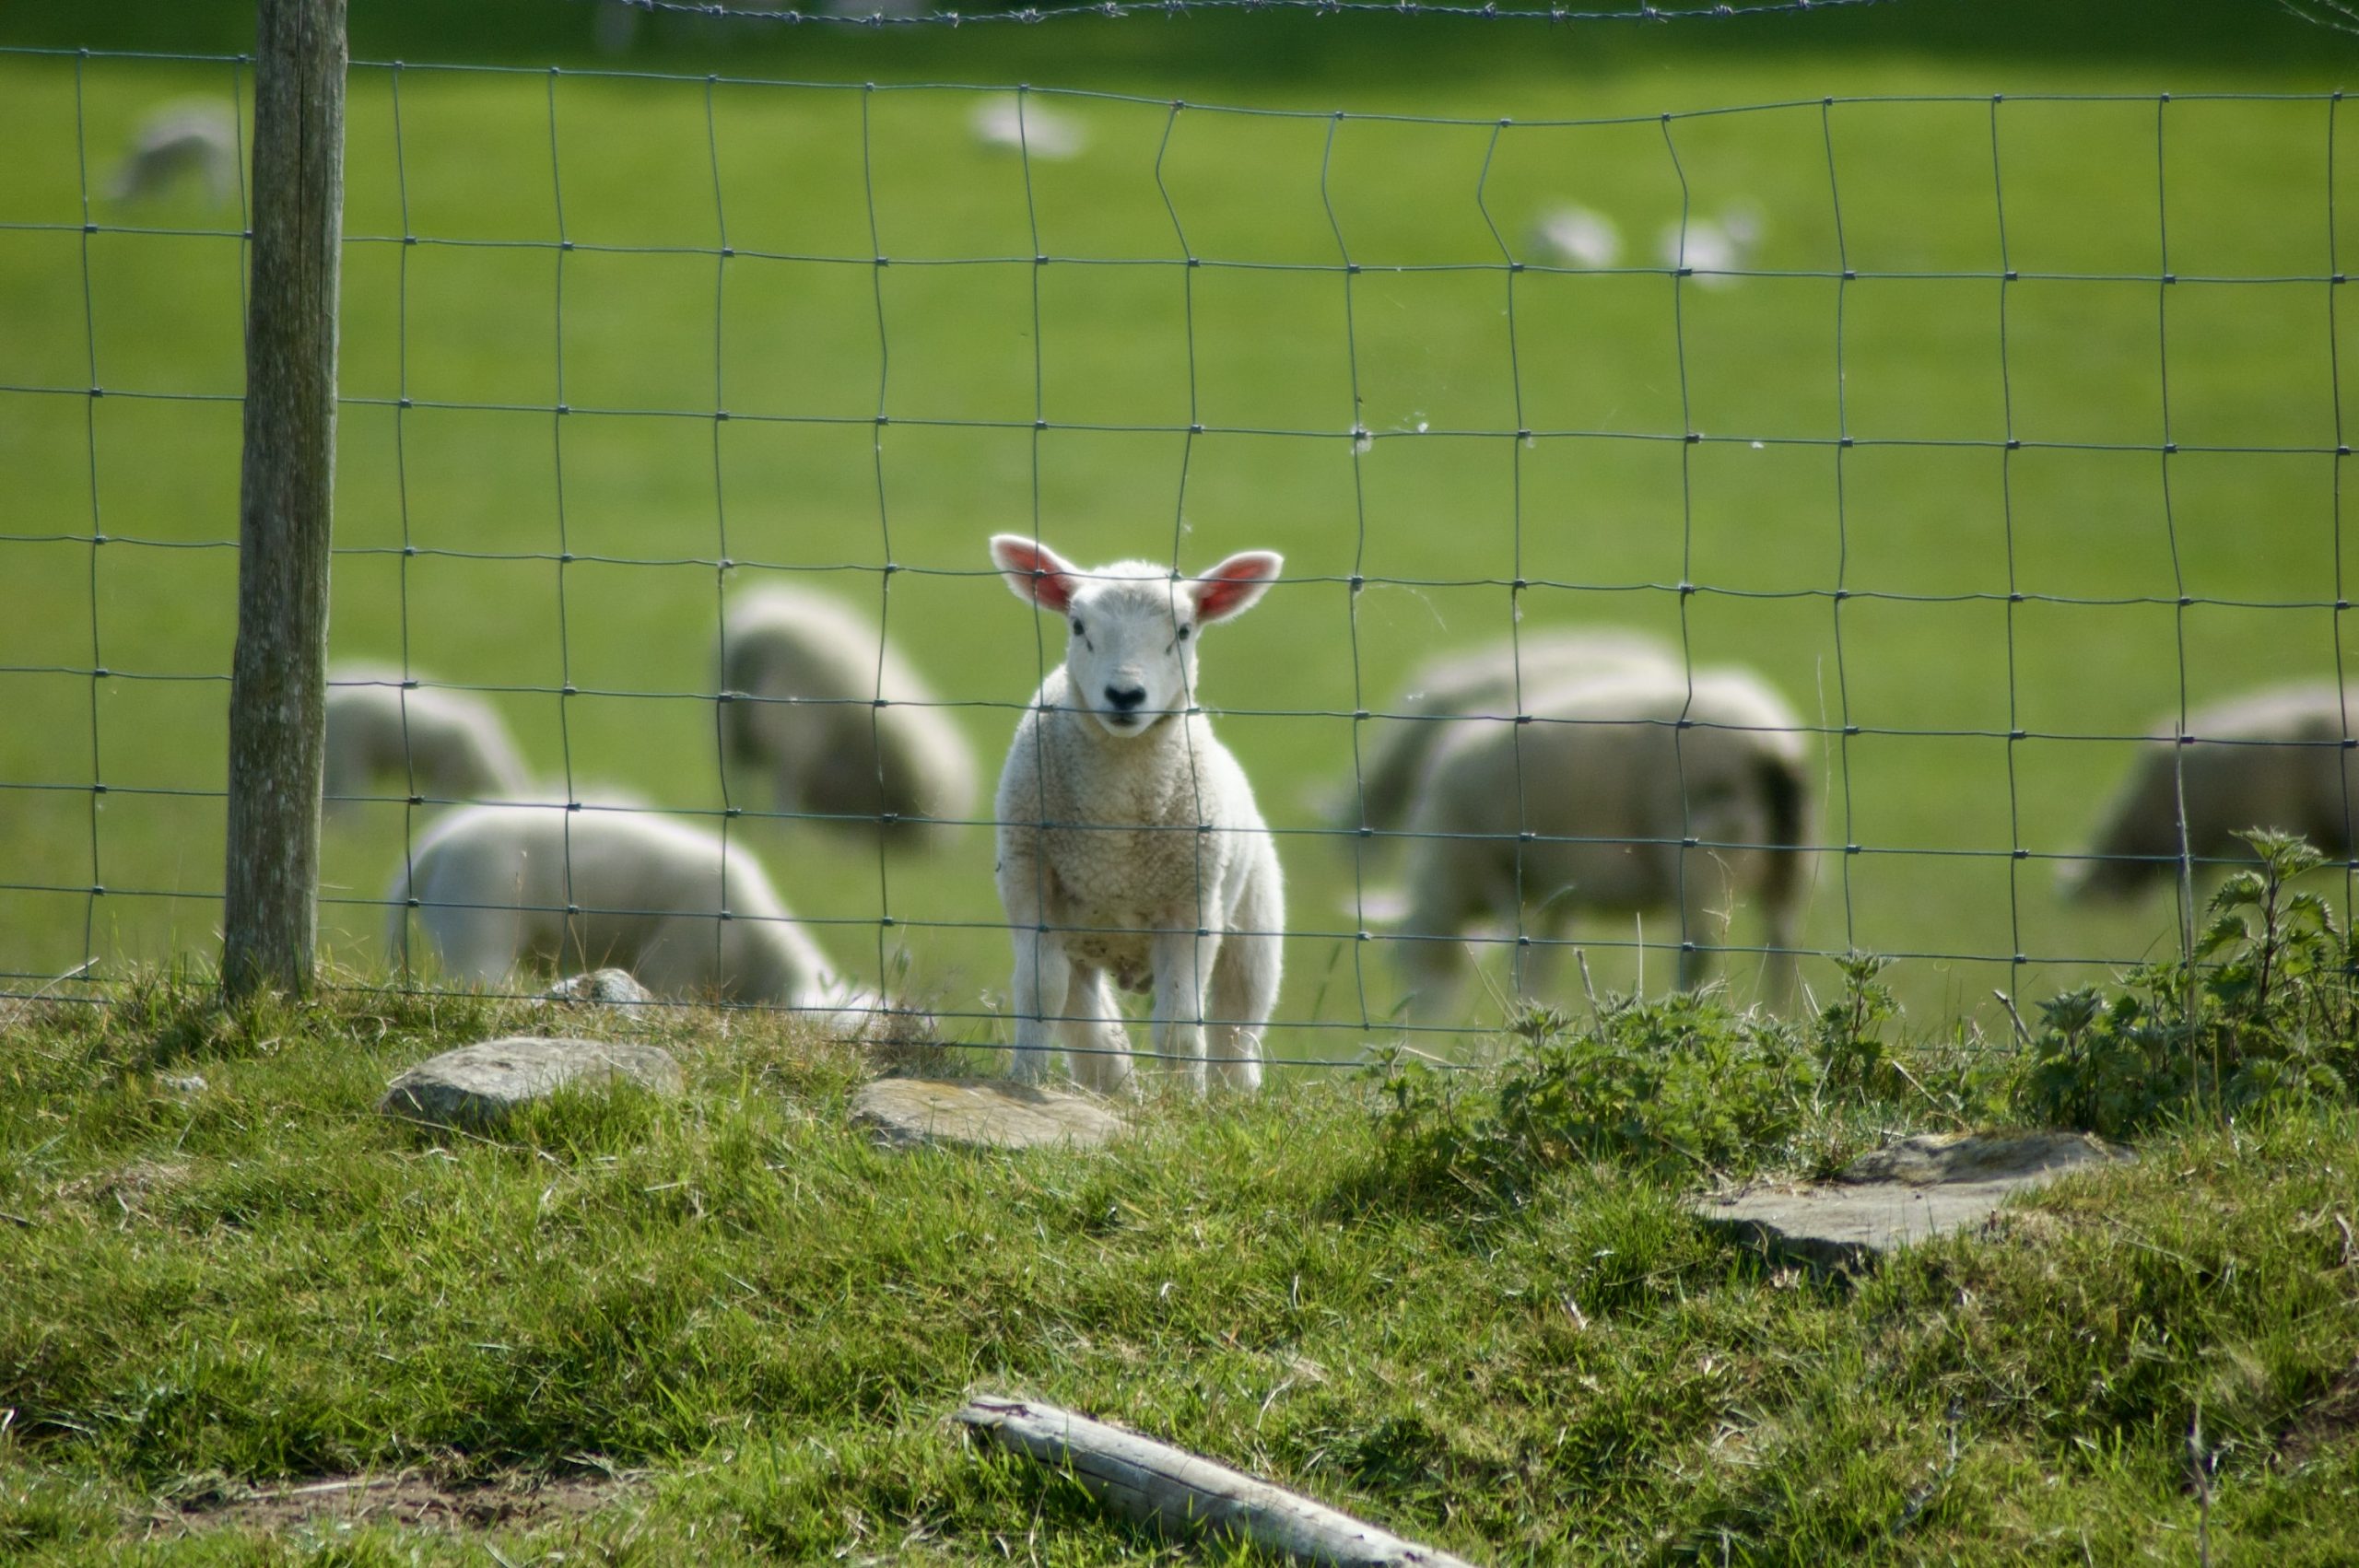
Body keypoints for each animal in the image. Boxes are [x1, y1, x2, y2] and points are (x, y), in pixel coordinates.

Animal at [717, 585, 980, 842]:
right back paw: (782, 841)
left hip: (733, 734)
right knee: (783, 800)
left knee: (740, 781)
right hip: (793, 736)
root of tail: (751, 635)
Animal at [989, 534, 1287, 1095]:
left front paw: (1183, 1101)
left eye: (1184, 630)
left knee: (1237, 1024)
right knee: (1084, 1015)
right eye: (1078, 626)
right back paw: (1114, 1085)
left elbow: (1179, 1025)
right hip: (1082, 939)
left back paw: (1230, 1097)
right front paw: (1024, 1079)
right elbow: (1041, 993)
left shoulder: (1192, 906)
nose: (1125, 695)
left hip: (1254, 925)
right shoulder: (1029, 882)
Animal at [1394, 662, 1814, 1014]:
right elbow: (1541, 959)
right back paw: (1780, 1015)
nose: (1418, 1030)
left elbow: (1521, 956)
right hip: (1788, 860)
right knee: (1782, 948)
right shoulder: (1554, 893)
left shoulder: (1502, 874)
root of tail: (1772, 747)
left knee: (1699, 952)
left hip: (1704, 856)